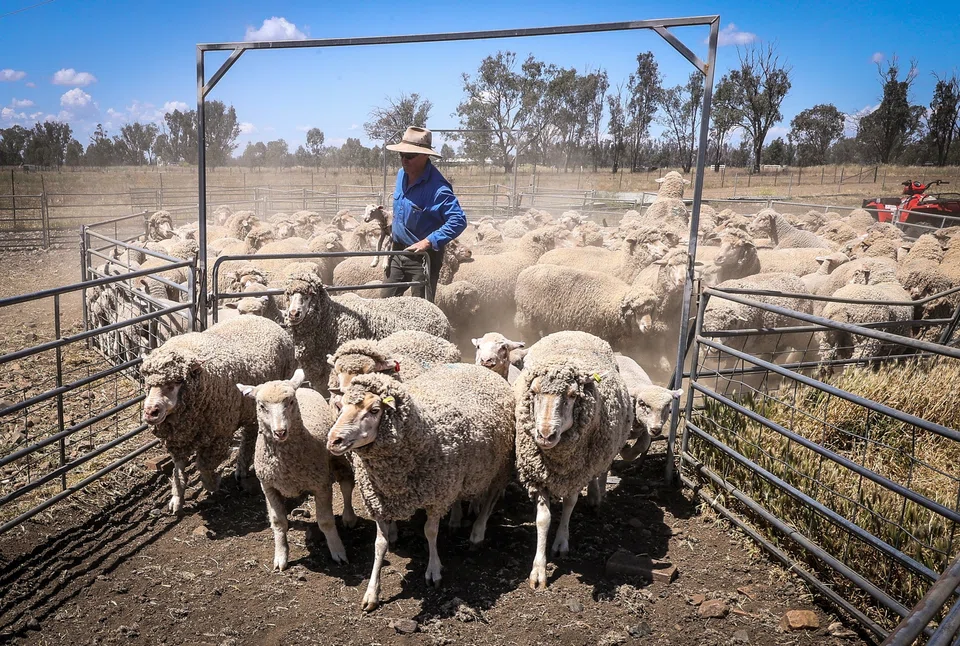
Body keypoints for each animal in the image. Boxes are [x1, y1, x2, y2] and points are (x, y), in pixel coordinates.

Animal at [140, 316, 297, 514]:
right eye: (147, 381)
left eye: (177, 381)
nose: (150, 412)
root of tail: (263, 318)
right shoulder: (179, 438)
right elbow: (178, 470)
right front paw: (177, 498)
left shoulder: (218, 436)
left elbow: (204, 467)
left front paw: (212, 484)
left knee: (248, 437)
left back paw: (241, 470)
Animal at [237, 369, 357, 569]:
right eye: (261, 406)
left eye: (291, 402)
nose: (280, 432)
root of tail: (303, 387)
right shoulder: (268, 487)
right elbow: (278, 522)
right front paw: (281, 556)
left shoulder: (321, 485)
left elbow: (326, 521)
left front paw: (337, 551)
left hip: (337, 455)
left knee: (346, 484)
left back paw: (349, 517)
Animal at [327, 365, 515, 611]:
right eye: (340, 406)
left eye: (375, 410)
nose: (333, 440)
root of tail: (474, 366)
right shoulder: (379, 500)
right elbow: (380, 544)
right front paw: (371, 592)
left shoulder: (435, 497)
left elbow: (430, 532)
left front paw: (433, 570)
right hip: (457, 475)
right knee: (458, 497)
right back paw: (455, 520)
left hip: (499, 466)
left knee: (489, 501)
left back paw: (477, 533)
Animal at [513, 331, 632, 590]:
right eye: (534, 393)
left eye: (571, 395)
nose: (545, 435)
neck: (559, 461)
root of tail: (576, 331)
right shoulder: (538, 476)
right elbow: (543, 520)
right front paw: (539, 571)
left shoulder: (576, 475)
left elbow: (570, 505)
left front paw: (561, 542)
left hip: (604, 448)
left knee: (601, 471)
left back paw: (597, 497)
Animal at [514, 264, 658, 348]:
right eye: (636, 310)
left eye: (651, 310)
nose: (648, 327)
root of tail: (524, 272)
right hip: (527, 317)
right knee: (526, 333)